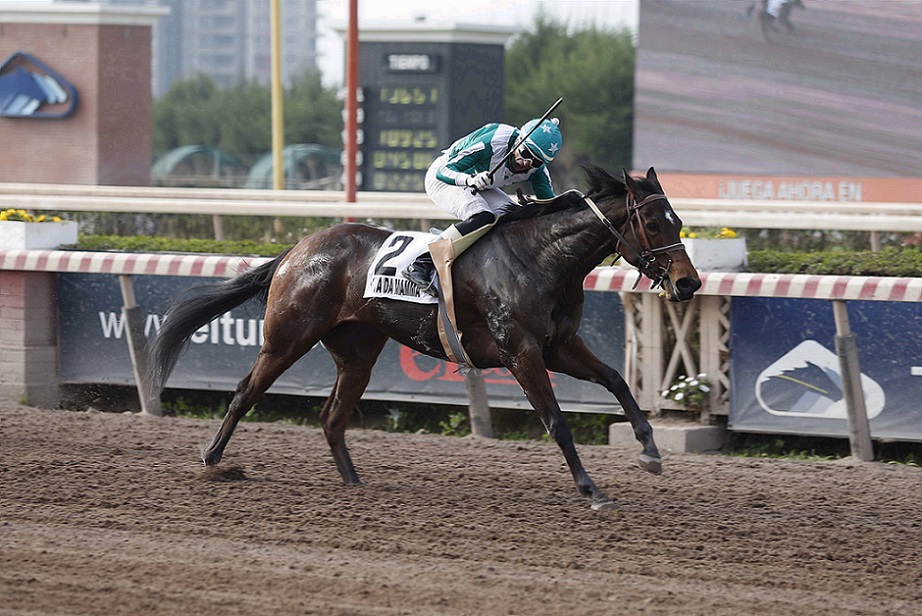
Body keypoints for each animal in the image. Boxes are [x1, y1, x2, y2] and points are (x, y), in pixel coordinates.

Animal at [146, 165, 702, 510]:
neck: (542, 258)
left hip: (357, 352)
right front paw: (591, 489)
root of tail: (296, 250)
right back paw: (212, 460)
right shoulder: (520, 352)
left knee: (332, 417)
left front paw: (650, 451)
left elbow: (616, 381)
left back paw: (354, 483)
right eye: (654, 223)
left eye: (677, 220)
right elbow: (557, 422)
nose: (688, 283)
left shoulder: (559, 347)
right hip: (287, 338)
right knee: (245, 392)